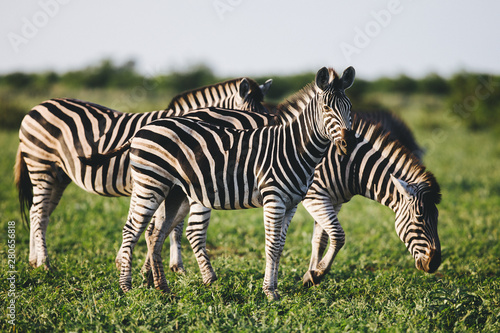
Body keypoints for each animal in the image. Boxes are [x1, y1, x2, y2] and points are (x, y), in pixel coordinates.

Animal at [15, 76, 272, 268]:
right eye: (252, 117)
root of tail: (37, 107)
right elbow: (168, 226)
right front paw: (166, 266)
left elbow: (170, 225)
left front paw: (166, 265)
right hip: (41, 166)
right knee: (38, 213)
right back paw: (44, 263)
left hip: (59, 175)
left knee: (39, 212)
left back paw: (34, 260)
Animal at [94, 65, 356, 298]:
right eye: (326, 108)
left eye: (350, 108)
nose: (349, 143)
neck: (293, 147)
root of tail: (141, 130)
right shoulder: (274, 198)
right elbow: (271, 245)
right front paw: (270, 292)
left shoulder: (291, 204)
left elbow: (280, 246)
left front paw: (277, 287)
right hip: (150, 183)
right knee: (132, 230)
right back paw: (127, 288)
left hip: (173, 192)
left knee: (154, 234)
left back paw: (163, 288)